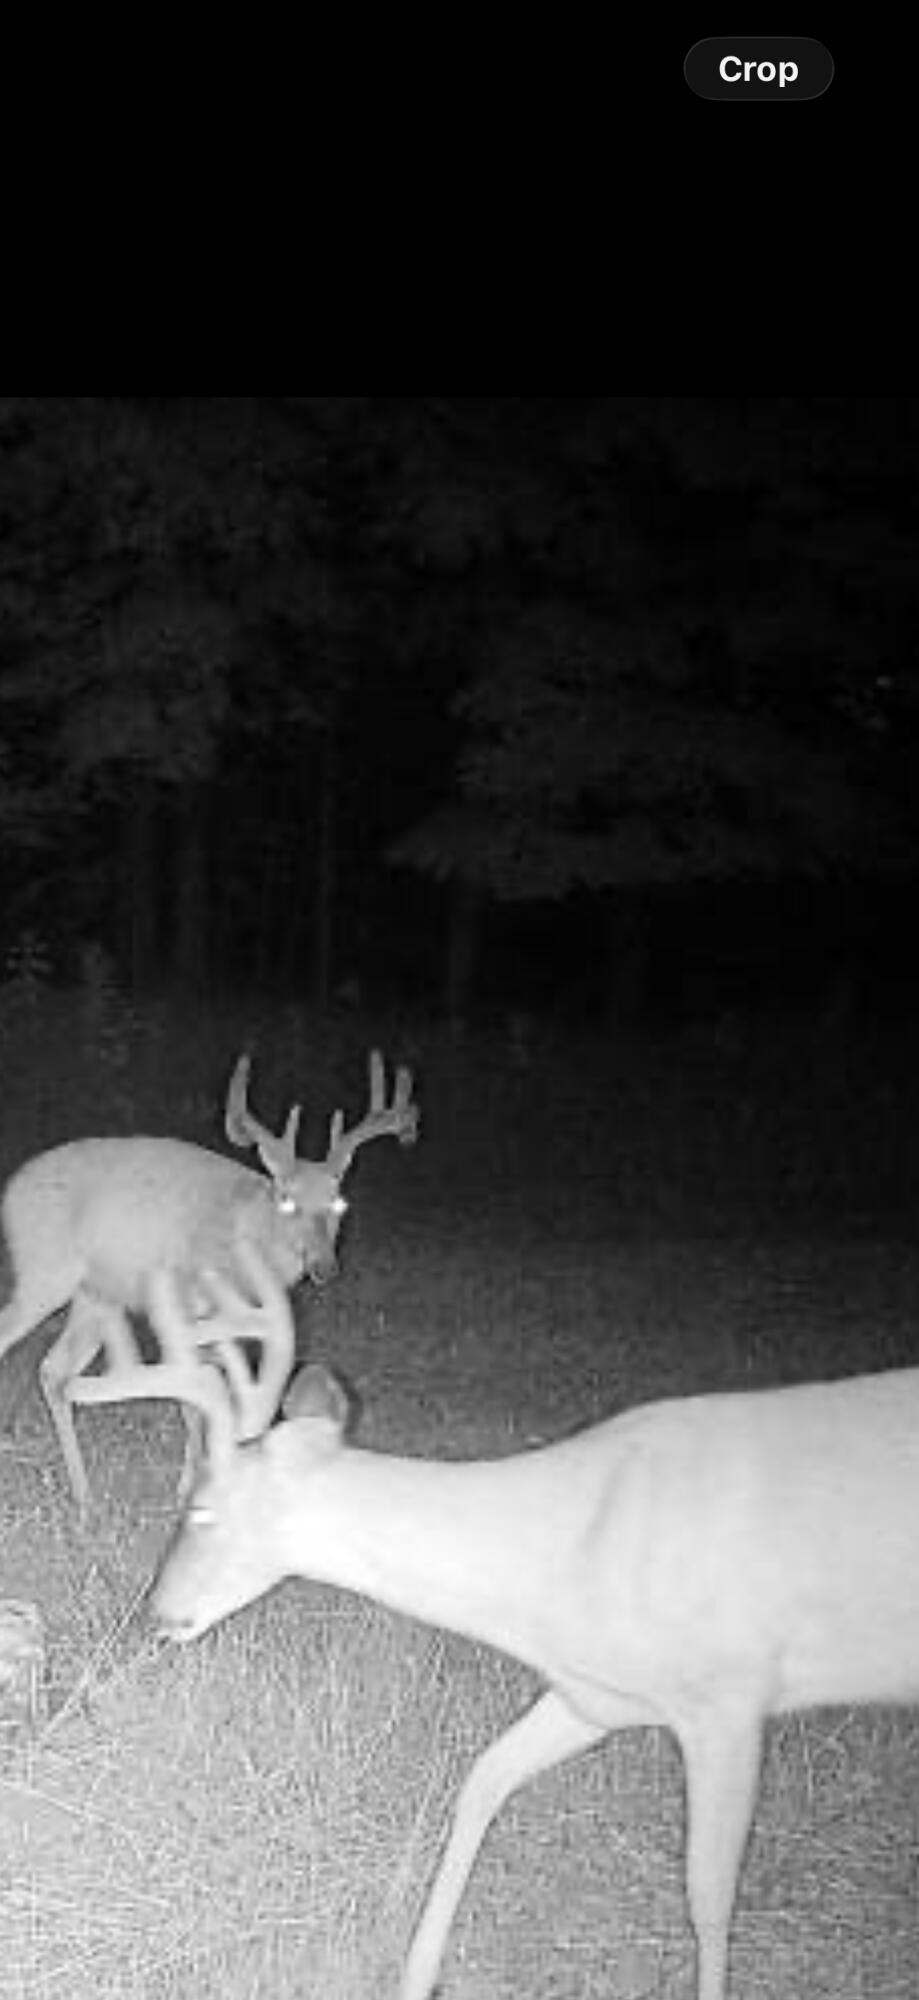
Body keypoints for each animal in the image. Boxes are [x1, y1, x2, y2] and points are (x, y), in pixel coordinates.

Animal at [0, 1050, 418, 1512]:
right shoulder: (187, 1302)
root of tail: (10, 1190)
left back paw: (85, 1497)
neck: (248, 1232)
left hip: (96, 1295)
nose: (325, 1267)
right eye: (287, 1199)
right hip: (45, 1271)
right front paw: (188, 1490)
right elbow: (192, 1401)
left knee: (54, 1370)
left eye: (340, 1202)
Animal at [64, 1241, 919, 2000]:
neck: (564, 1557)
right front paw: (415, 1978)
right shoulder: (594, 1696)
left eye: (200, 1508)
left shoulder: (730, 1696)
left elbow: (706, 1895)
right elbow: (481, 1779)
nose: (156, 1610)